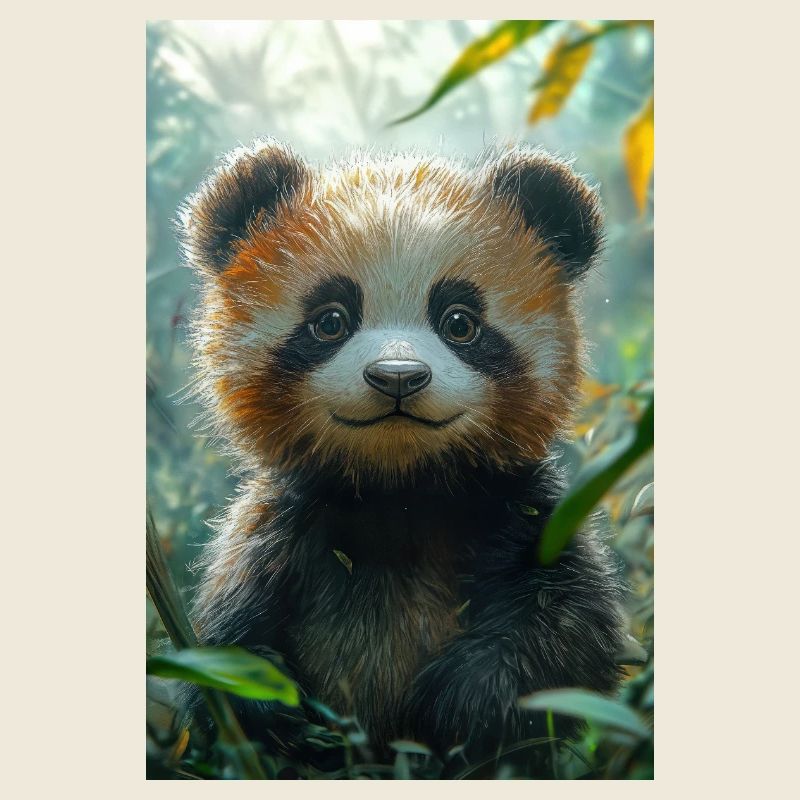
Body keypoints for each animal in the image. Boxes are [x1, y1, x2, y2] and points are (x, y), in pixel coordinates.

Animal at [178, 139, 626, 760]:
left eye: (460, 322)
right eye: (330, 321)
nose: (397, 377)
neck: (400, 487)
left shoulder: (522, 510)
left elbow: (575, 632)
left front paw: (461, 701)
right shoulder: (280, 528)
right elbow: (225, 643)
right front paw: (275, 705)